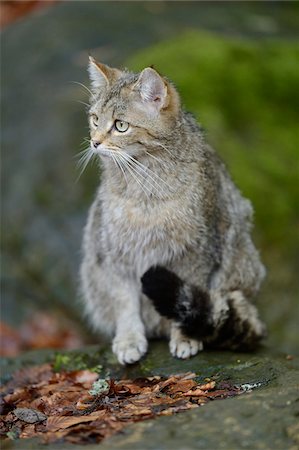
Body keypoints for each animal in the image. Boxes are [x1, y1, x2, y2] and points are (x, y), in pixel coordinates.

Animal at [80, 57, 268, 366]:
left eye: (120, 125)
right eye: (95, 119)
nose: (95, 142)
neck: (143, 186)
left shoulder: (196, 254)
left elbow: (187, 298)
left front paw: (184, 336)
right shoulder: (116, 254)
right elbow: (124, 301)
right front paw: (129, 338)